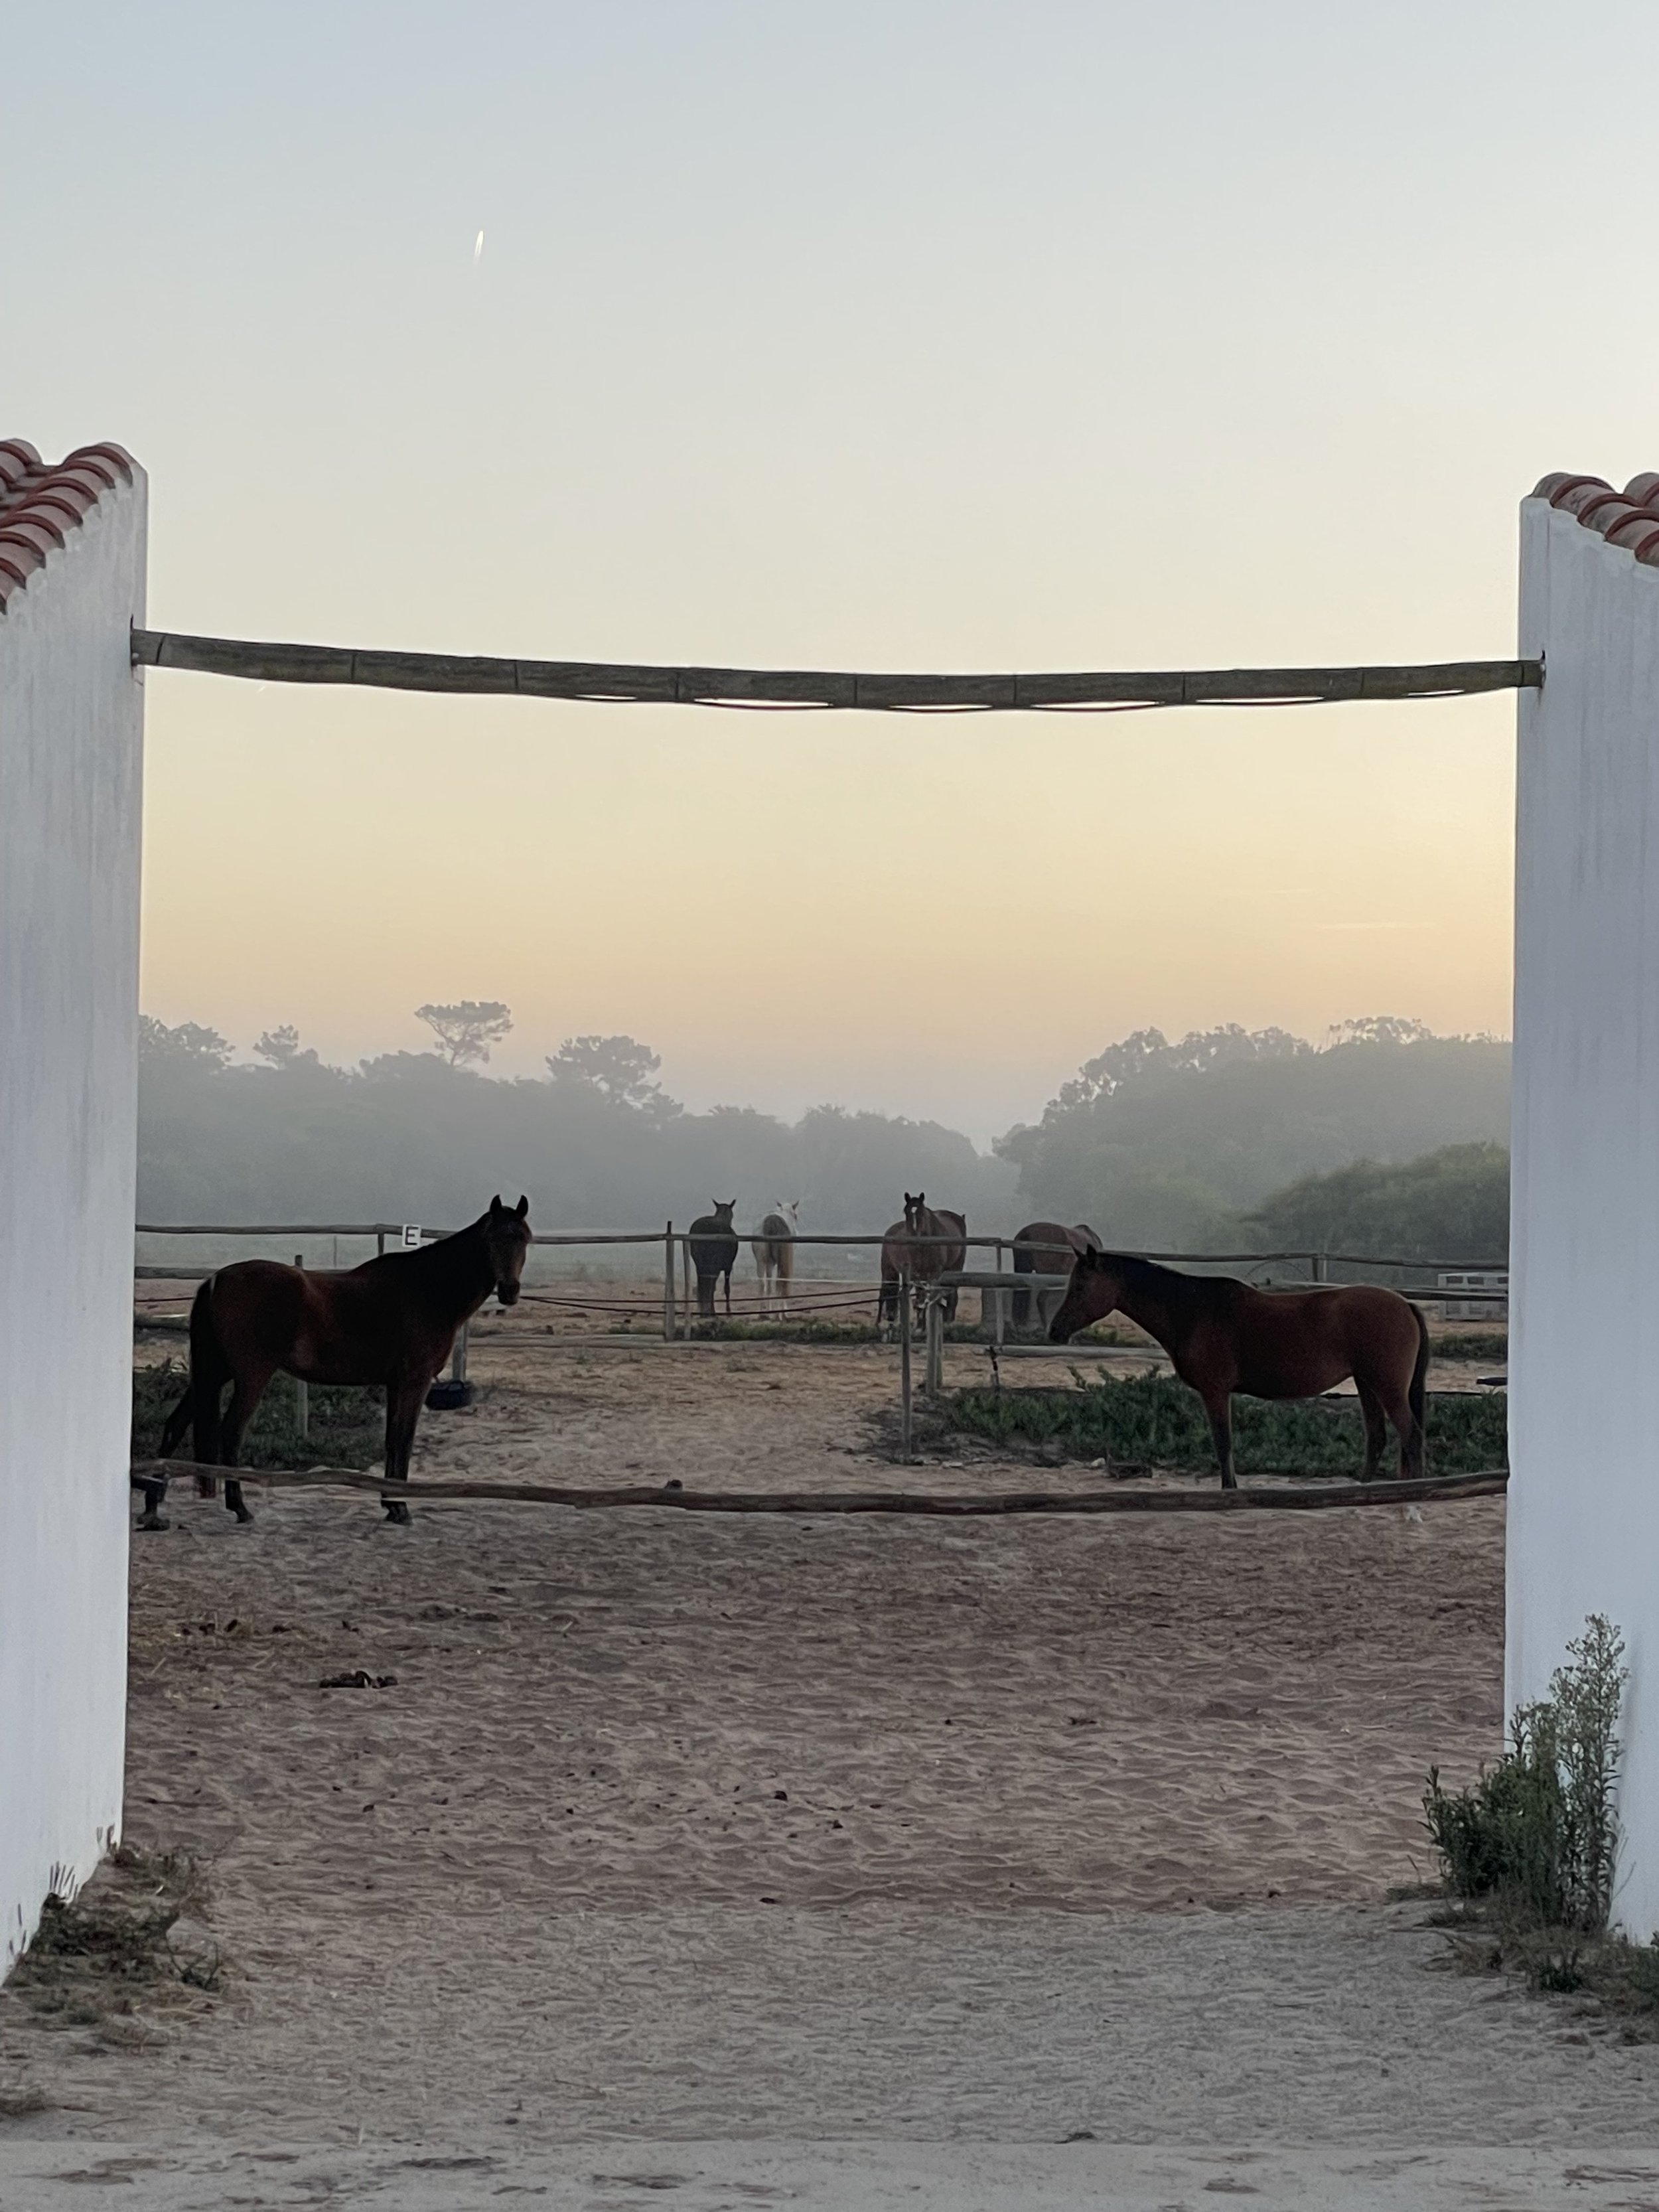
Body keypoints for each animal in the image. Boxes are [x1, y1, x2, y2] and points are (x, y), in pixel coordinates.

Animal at [151, 1196, 533, 1528]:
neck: (428, 1291)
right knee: (231, 1432)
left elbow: (392, 1439)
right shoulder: (415, 1382)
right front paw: (400, 1508)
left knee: (175, 1424)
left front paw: (390, 1504)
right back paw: (239, 1508)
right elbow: (405, 1439)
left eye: (525, 1239)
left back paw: (152, 1507)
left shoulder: (396, 1384)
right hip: (250, 1376)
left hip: (212, 1374)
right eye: (493, 1239)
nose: (510, 1291)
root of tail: (217, 1280)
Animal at [688, 1201, 739, 1319]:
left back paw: (704, 1313)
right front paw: (728, 1312)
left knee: (703, 1285)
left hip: (700, 1263)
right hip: (712, 1264)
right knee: (709, 1285)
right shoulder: (728, 1266)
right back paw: (711, 1313)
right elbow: (726, 1288)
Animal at [751, 1200, 800, 1317]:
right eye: (796, 1216)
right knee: (780, 1282)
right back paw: (779, 1313)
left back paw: (763, 1313)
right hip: (779, 1262)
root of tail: (772, 1219)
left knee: (764, 1284)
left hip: (762, 1261)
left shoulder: (770, 1263)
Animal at [877, 1192, 967, 1333]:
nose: (914, 1238)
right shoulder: (916, 1274)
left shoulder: (935, 1274)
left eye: (921, 1213)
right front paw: (920, 1326)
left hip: (955, 1267)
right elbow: (920, 1297)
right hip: (889, 1270)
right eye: (906, 1211)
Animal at [1047, 1248, 1428, 1489]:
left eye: (1079, 1286)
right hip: (1367, 1382)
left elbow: (1223, 1444)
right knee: (1378, 1437)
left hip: (1387, 1385)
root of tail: (1405, 1304)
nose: (1055, 1330)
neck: (1193, 1311)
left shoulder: (1215, 1392)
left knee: (1411, 1434)